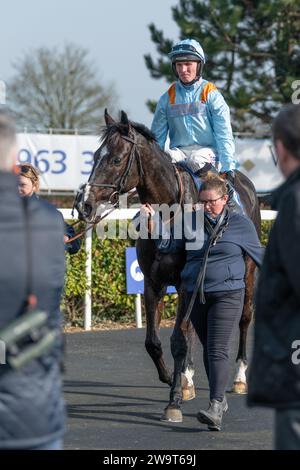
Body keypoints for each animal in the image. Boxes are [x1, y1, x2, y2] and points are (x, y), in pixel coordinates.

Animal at [74, 109, 260, 422]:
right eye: (96, 155)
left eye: (116, 159)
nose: (84, 204)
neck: (169, 214)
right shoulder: (153, 283)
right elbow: (155, 342)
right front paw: (174, 378)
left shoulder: (187, 282)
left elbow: (178, 340)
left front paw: (174, 401)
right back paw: (188, 377)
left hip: (247, 273)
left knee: (245, 318)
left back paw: (240, 377)